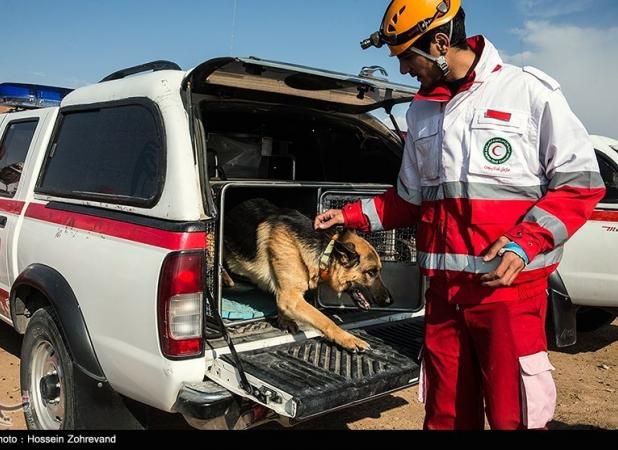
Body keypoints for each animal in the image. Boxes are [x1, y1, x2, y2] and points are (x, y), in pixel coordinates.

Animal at [221, 200, 392, 352]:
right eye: (371, 272)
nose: (390, 301)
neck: (326, 251)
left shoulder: (287, 293)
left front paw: (285, 319)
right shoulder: (291, 298)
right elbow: (324, 320)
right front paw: (348, 339)